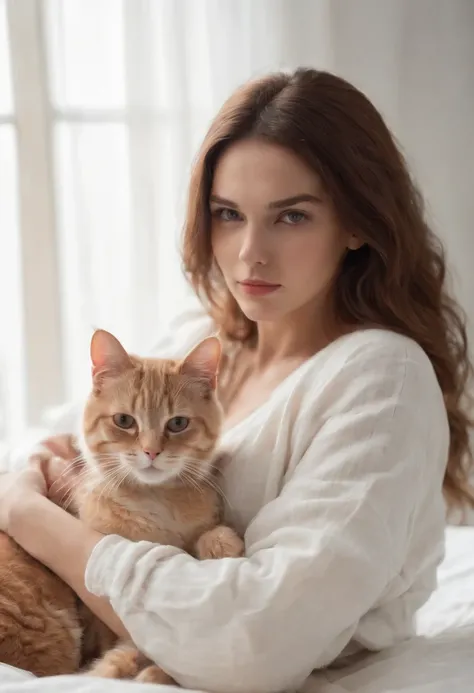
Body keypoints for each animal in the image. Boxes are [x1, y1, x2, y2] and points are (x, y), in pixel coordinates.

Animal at [0, 330, 244, 680]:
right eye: (124, 421)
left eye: (178, 424)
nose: (151, 452)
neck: (156, 502)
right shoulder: (100, 621)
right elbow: (124, 653)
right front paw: (146, 672)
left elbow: (204, 535)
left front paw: (220, 542)